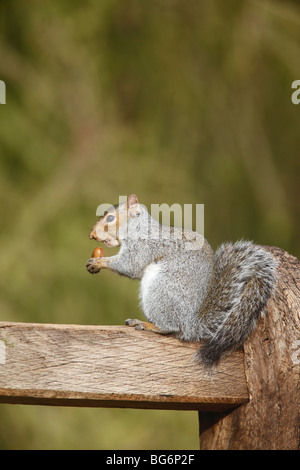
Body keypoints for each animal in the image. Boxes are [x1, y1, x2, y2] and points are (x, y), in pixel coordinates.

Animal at [85, 194, 278, 368]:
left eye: (110, 218)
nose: (91, 235)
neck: (138, 227)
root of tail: (191, 324)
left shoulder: (143, 246)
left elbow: (130, 265)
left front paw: (99, 262)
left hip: (160, 290)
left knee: (170, 327)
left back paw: (147, 325)